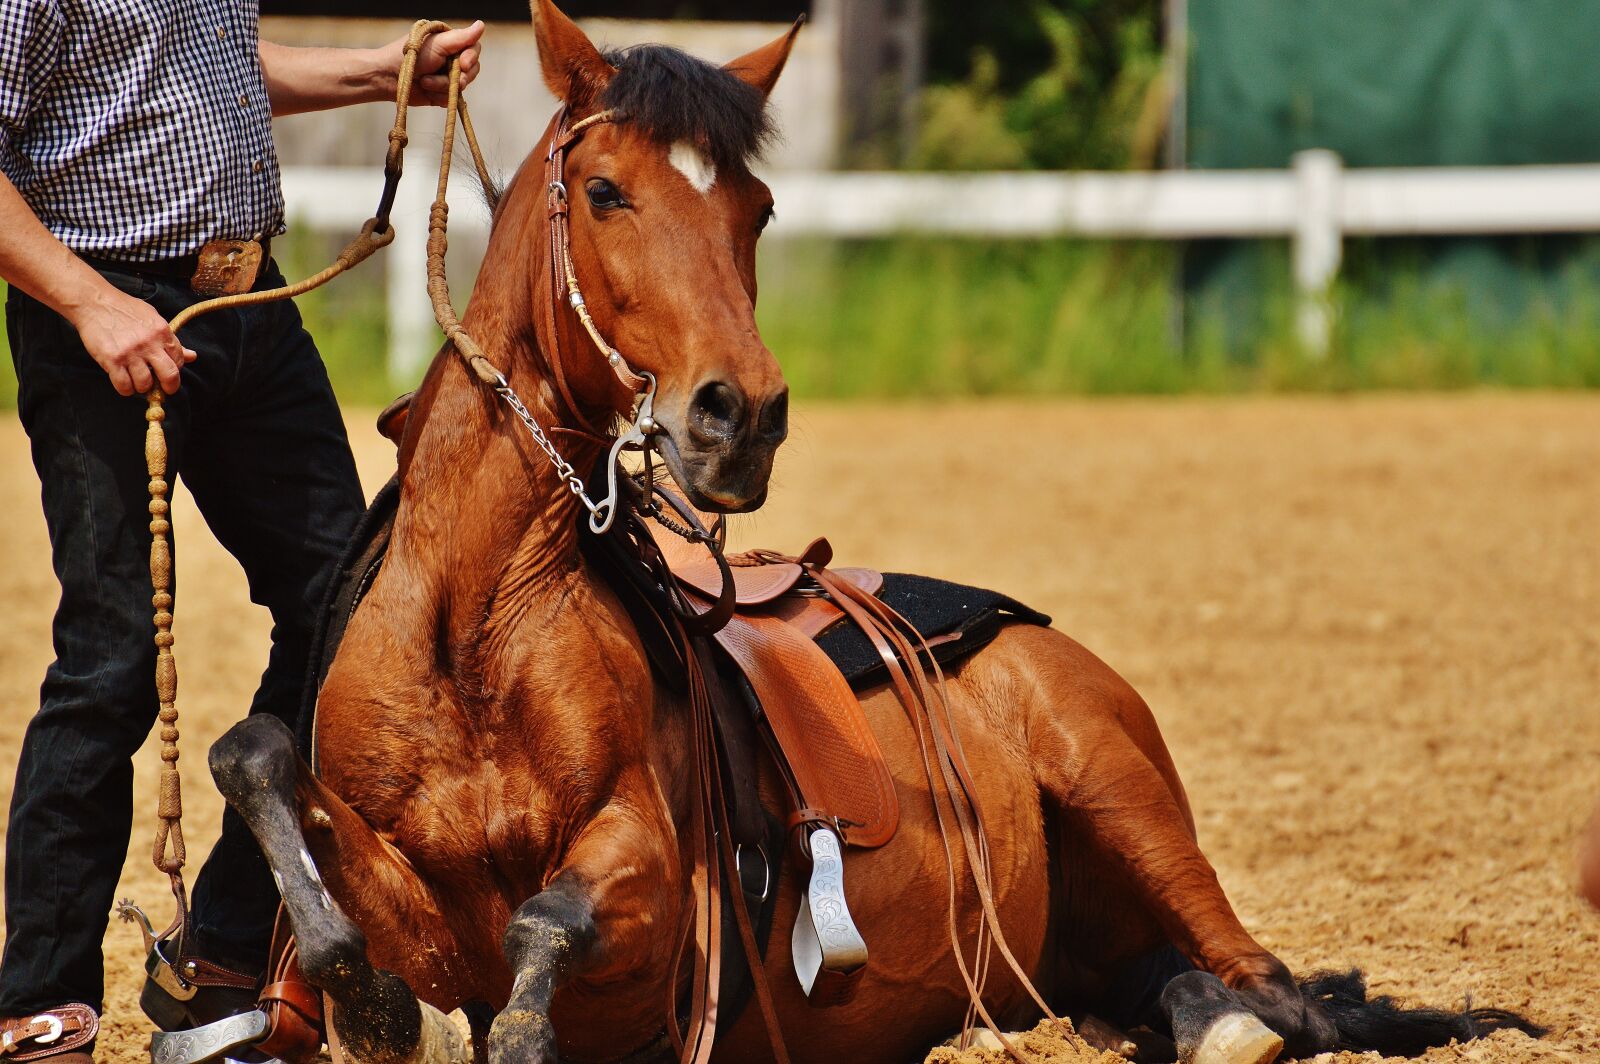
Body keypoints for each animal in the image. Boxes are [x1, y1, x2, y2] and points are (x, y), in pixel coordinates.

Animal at [208, 5, 1542, 1063]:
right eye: (603, 190)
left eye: (757, 208)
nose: (739, 414)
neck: (476, 625)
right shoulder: (400, 875)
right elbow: (261, 766)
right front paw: (363, 995)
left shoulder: (651, 881)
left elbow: (548, 925)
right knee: (1152, 981)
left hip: (1119, 785)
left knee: (1276, 990)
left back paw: (1234, 1021)